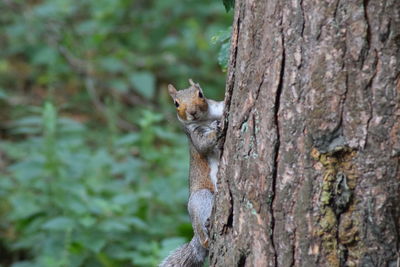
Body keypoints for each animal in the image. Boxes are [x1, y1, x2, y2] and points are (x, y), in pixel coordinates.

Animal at [161, 78, 227, 266]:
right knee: (204, 237)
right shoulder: (194, 134)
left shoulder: (218, 107)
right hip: (201, 199)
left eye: (200, 94)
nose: (192, 112)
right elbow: (204, 144)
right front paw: (216, 130)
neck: (207, 118)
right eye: (176, 104)